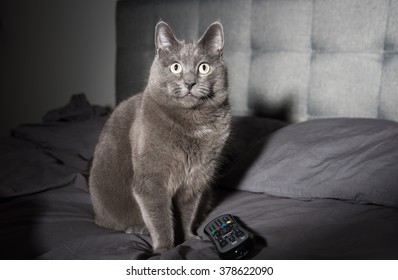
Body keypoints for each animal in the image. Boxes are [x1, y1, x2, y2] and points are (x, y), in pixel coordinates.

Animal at [88, 21, 230, 254]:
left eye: (203, 67)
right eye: (176, 67)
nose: (190, 83)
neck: (193, 123)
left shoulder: (196, 178)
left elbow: (187, 212)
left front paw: (189, 239)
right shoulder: (151, 180)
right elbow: (160, 217)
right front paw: (165, 250)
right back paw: (138, 228)